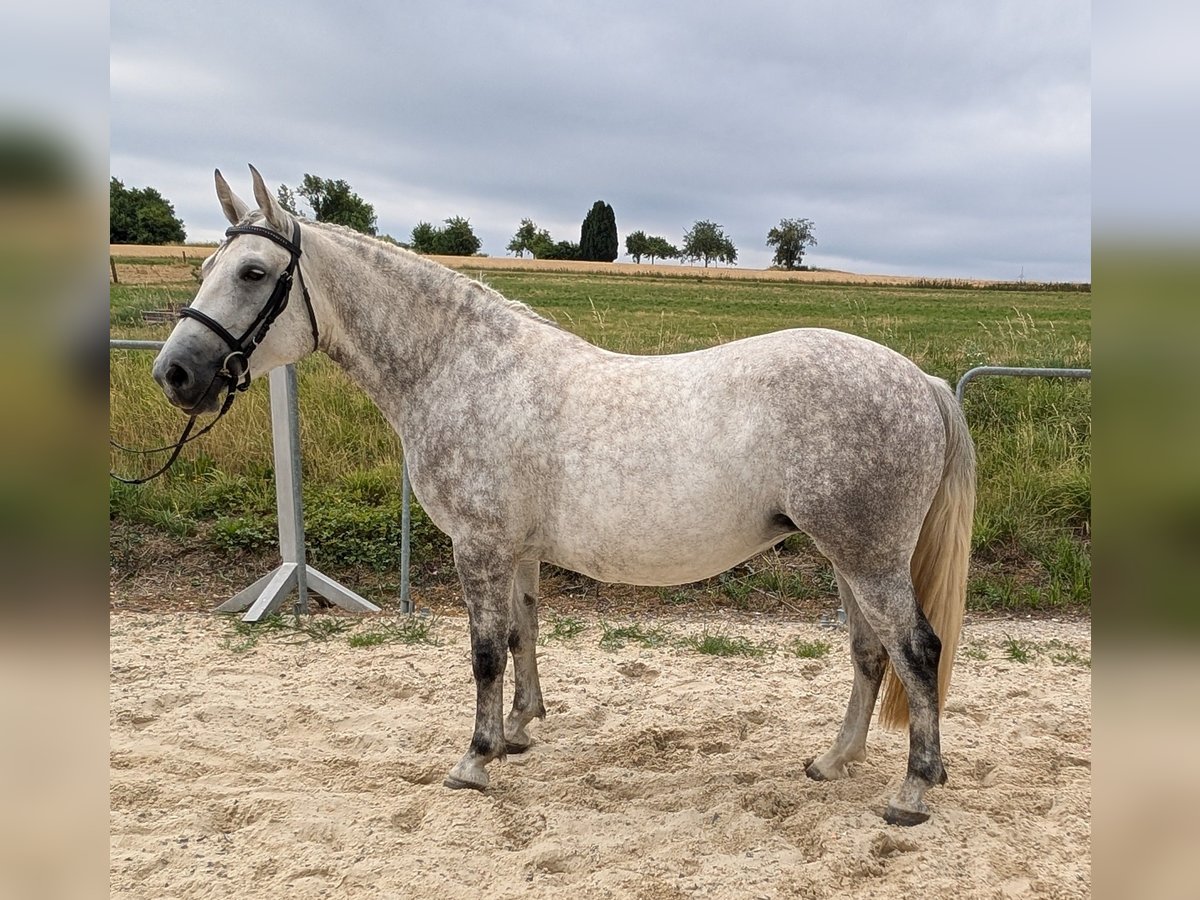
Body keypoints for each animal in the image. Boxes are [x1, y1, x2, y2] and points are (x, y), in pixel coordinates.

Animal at [152, 166, 975, 826]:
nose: (174, 373)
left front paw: (475, 759)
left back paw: (911, 791)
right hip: (846, 556)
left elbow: (485, 651)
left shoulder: (478, 545)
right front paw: (518, 734)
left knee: (916, 649)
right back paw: (833, 762)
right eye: (206, 265)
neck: (463, 370)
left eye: (252, 271)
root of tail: (922, 382)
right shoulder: (516, 551)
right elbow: (524, 634)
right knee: (871, 653)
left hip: (868, 557)